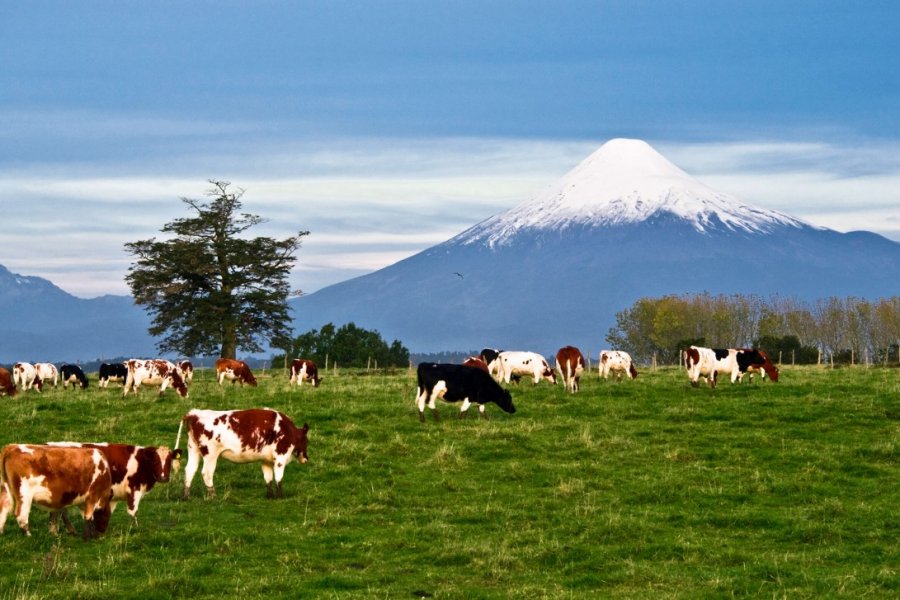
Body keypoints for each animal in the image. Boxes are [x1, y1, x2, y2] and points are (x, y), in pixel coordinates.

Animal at [46, 440, 182, 528]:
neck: (141, 462)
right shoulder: (133, 489)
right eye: (155, 461)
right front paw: (134, 529)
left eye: (169, 461)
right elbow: (133, 511)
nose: (163, 477)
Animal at [178, 408, 312, 502]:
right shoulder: (281, 457)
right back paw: (213, 496)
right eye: (307, 441)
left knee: (189, 470)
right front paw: (280, 497)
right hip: (210, 454)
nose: (306, 458)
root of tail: (195, 413)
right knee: (206, 473)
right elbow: (279, 478)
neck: (288, 429)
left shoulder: (266, 460)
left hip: (193, 449)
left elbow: (268, 478)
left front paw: (269, 496)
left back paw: (185, 496)